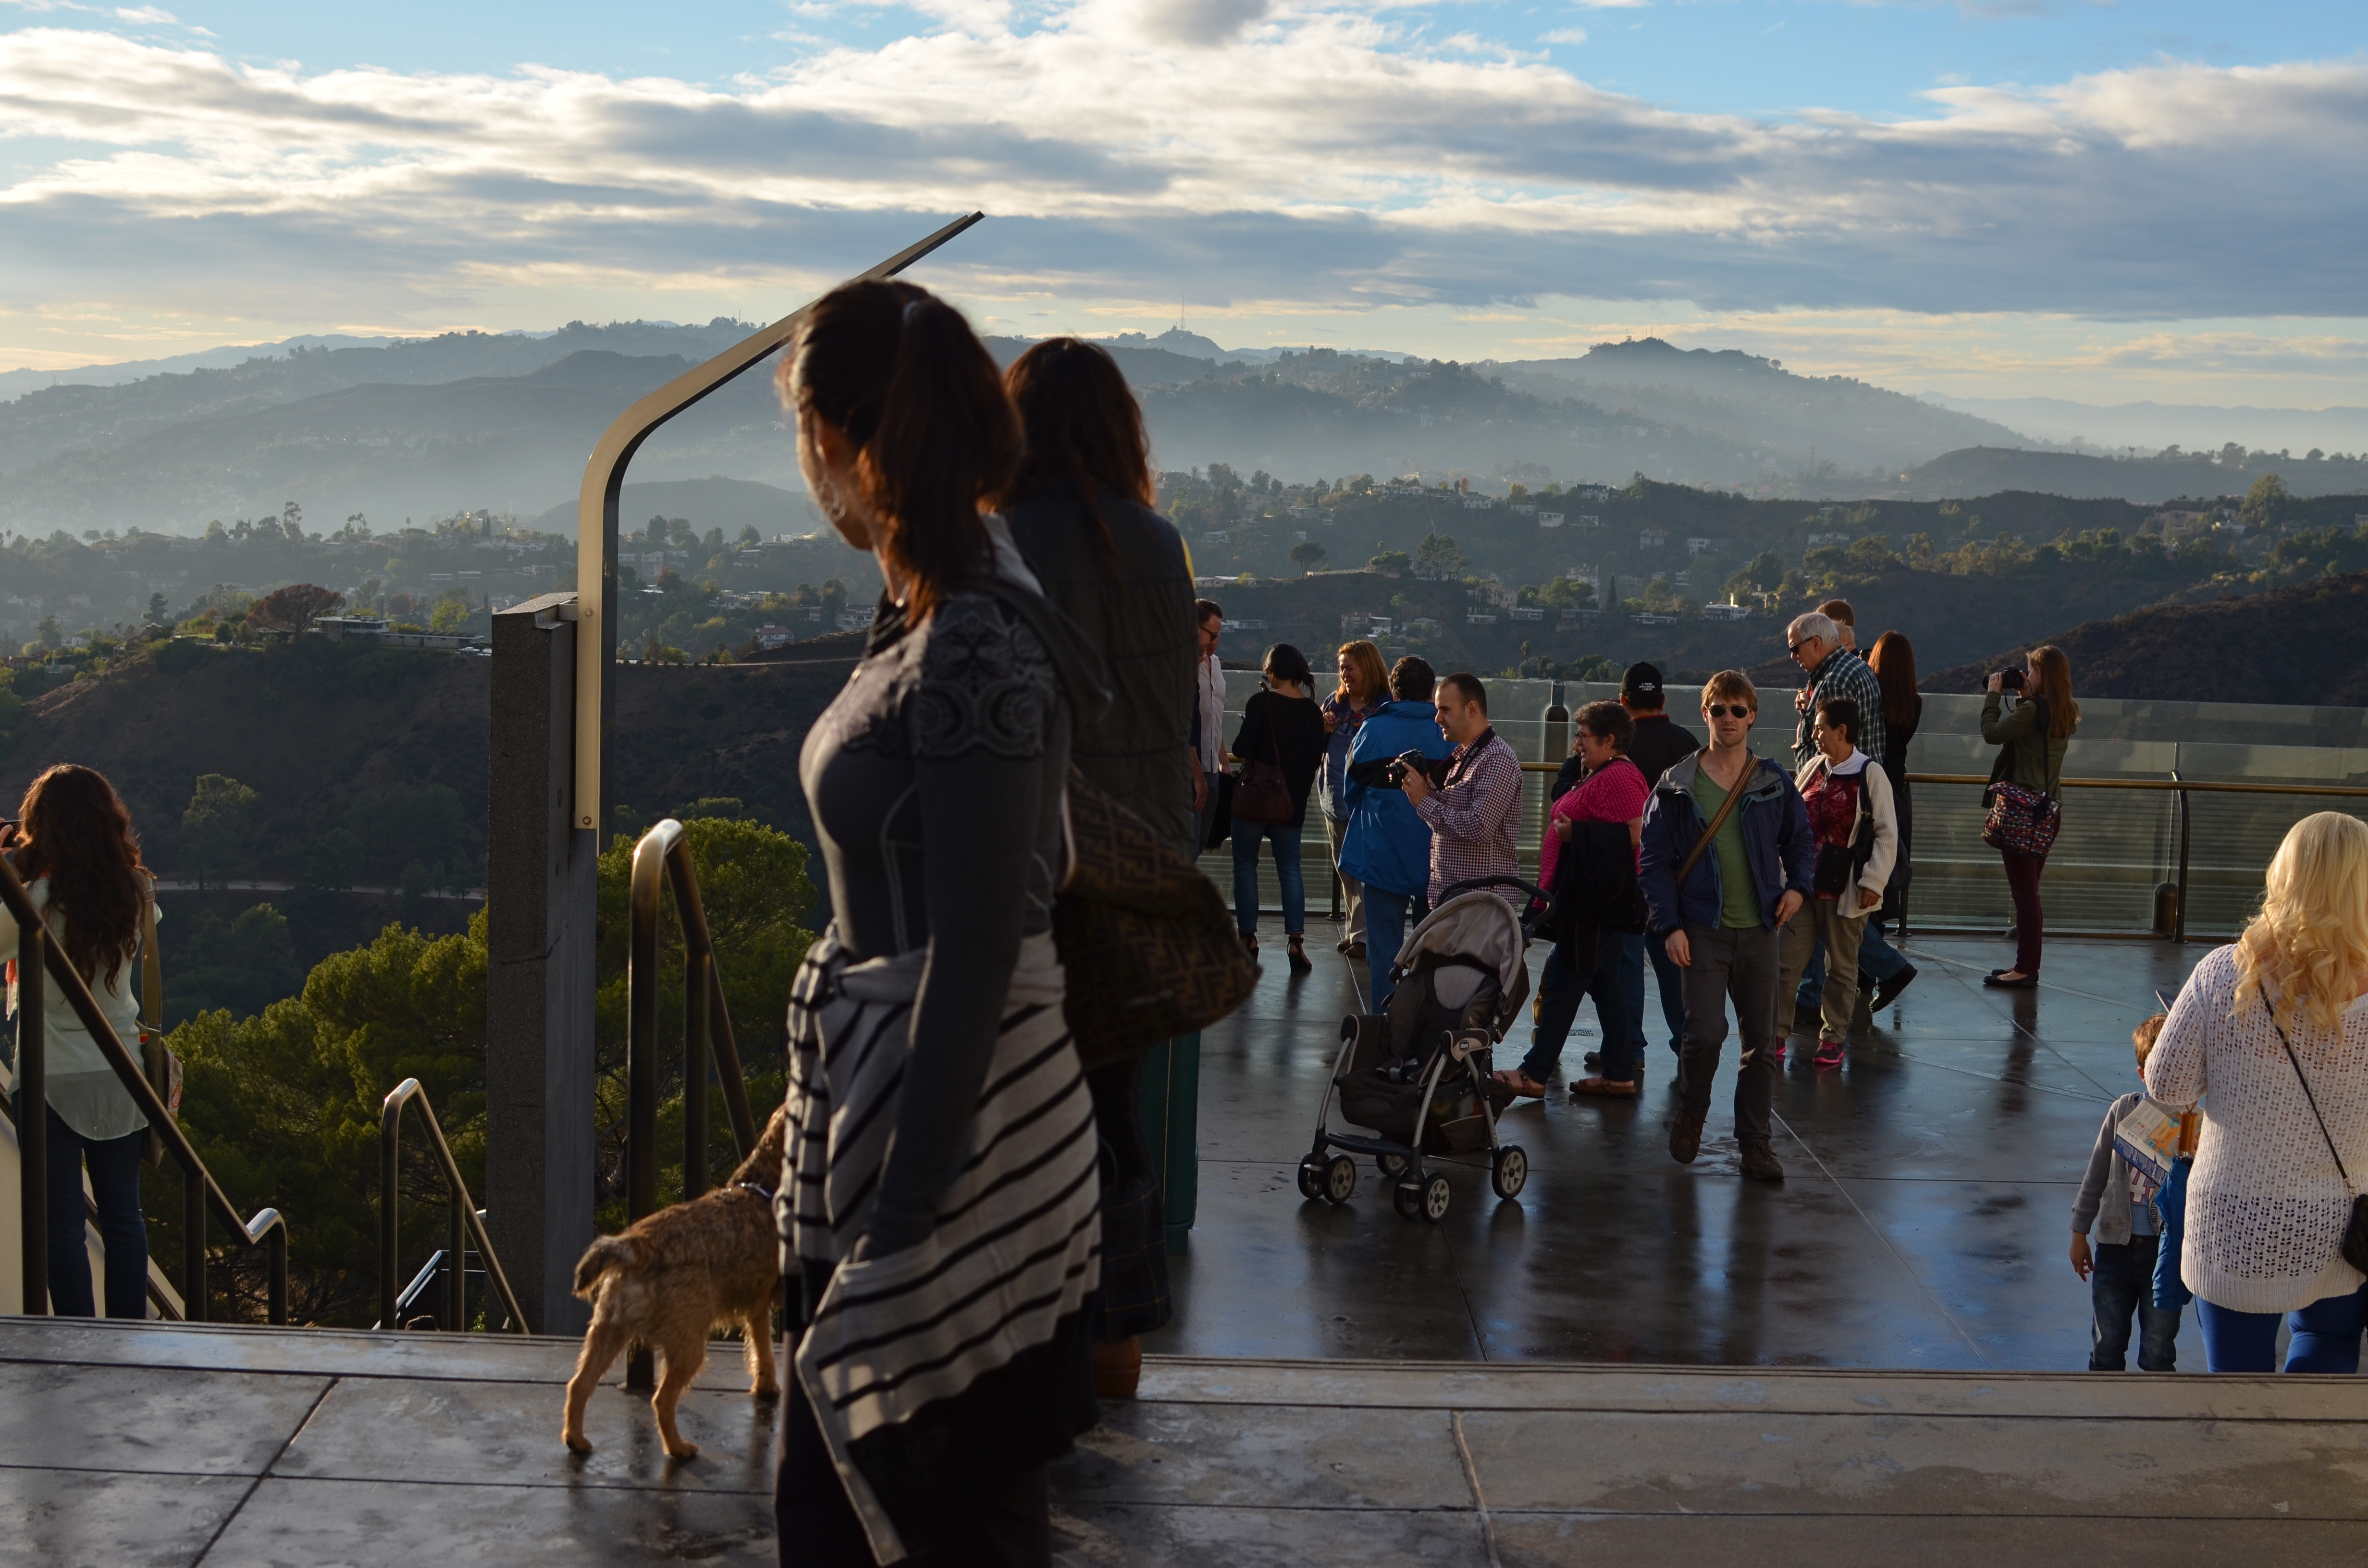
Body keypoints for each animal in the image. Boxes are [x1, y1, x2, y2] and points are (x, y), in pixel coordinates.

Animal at [562, 1104, 787, 1460]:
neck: (759, 1187)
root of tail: (637, 1245)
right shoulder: (761, 1303)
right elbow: (764, 1348)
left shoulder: (757, 1305)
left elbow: (762, 1350)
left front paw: (766, 1386)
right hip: (689, 1344)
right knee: (662, 1400)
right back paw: (679, 1448)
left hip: (608, 1330)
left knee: (579, 1385)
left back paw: (577, 1440)